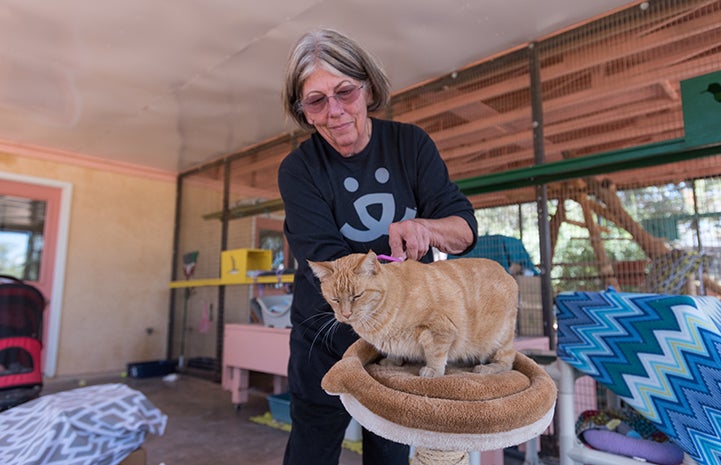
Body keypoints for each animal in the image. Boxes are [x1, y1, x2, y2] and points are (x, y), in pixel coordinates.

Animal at [310, 250, 516, 376]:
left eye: (357, 296)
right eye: (335, 299)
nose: (345, 315)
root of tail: (506, 272)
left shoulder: (441, 330)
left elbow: (436, 353)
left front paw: (432, 371)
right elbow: (394, 351)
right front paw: (392, 362)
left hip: (501, 339)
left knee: (508, 361)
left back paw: (487, 368)